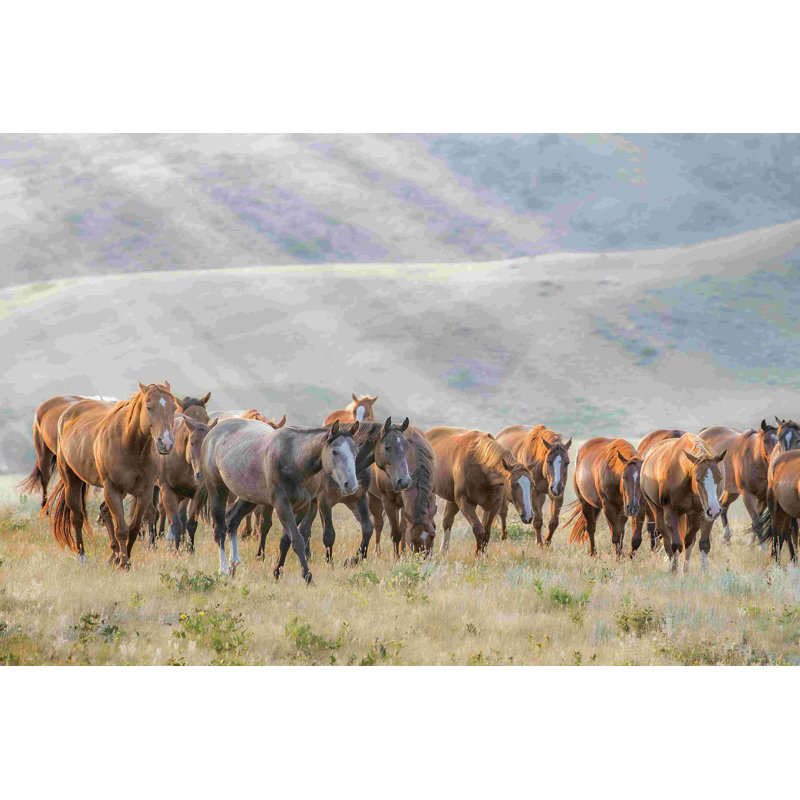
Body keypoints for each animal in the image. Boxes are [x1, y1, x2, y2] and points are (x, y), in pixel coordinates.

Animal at [45, 382, 177, 568]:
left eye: (174, 408)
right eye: (149, 407)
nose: (166, 443)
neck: (131, 446)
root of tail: (68, 412)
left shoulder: (145, 492)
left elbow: (133, 527)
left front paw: (124, 557)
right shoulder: (112, 490)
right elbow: (121, 529)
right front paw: (124, 563)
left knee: (104, 512)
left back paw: (113, 553)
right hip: (72, 481)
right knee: (77, 518)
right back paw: (82, 555)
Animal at [201, 419, 360, 582]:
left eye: (356, 451)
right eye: (335, 452)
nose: (351, 485)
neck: (295, 460)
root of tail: (213, 432)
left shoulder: (301, 508)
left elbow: (286, 541)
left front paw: (277, 572)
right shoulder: (282, 506)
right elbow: (297, 540)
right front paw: (308, 576)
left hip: (249, 497)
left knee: (232, 520)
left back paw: (234, 564)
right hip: (217, 490)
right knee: (220, 528)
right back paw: (224, 570)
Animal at [297, 418, 412, 563]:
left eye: (407, 446)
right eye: (387, 447)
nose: (404, 481)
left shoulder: (358, 499)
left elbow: (368, 528)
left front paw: (353, 560)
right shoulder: (325, 502)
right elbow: (329, 535)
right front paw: (330, 563)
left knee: (305, 528)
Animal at [367, 425, 437, 556]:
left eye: (432, 536)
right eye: (413, 540)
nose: (424, 557)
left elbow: (404, 529)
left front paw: (403, 554)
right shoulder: (389, 502)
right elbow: (396, 533)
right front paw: (397, 556)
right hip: (374, 497)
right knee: (378, 523)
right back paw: (377, 551)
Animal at [640, 433, 726, 572]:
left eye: (719, 478)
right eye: (697, 479)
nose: (714, 510)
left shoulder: (701, 514)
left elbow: (700, 544)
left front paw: (699, 573)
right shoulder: (671, 513)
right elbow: (676, 545)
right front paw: (675, 572)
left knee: (687, 541)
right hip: (657, 510)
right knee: (667, 540)